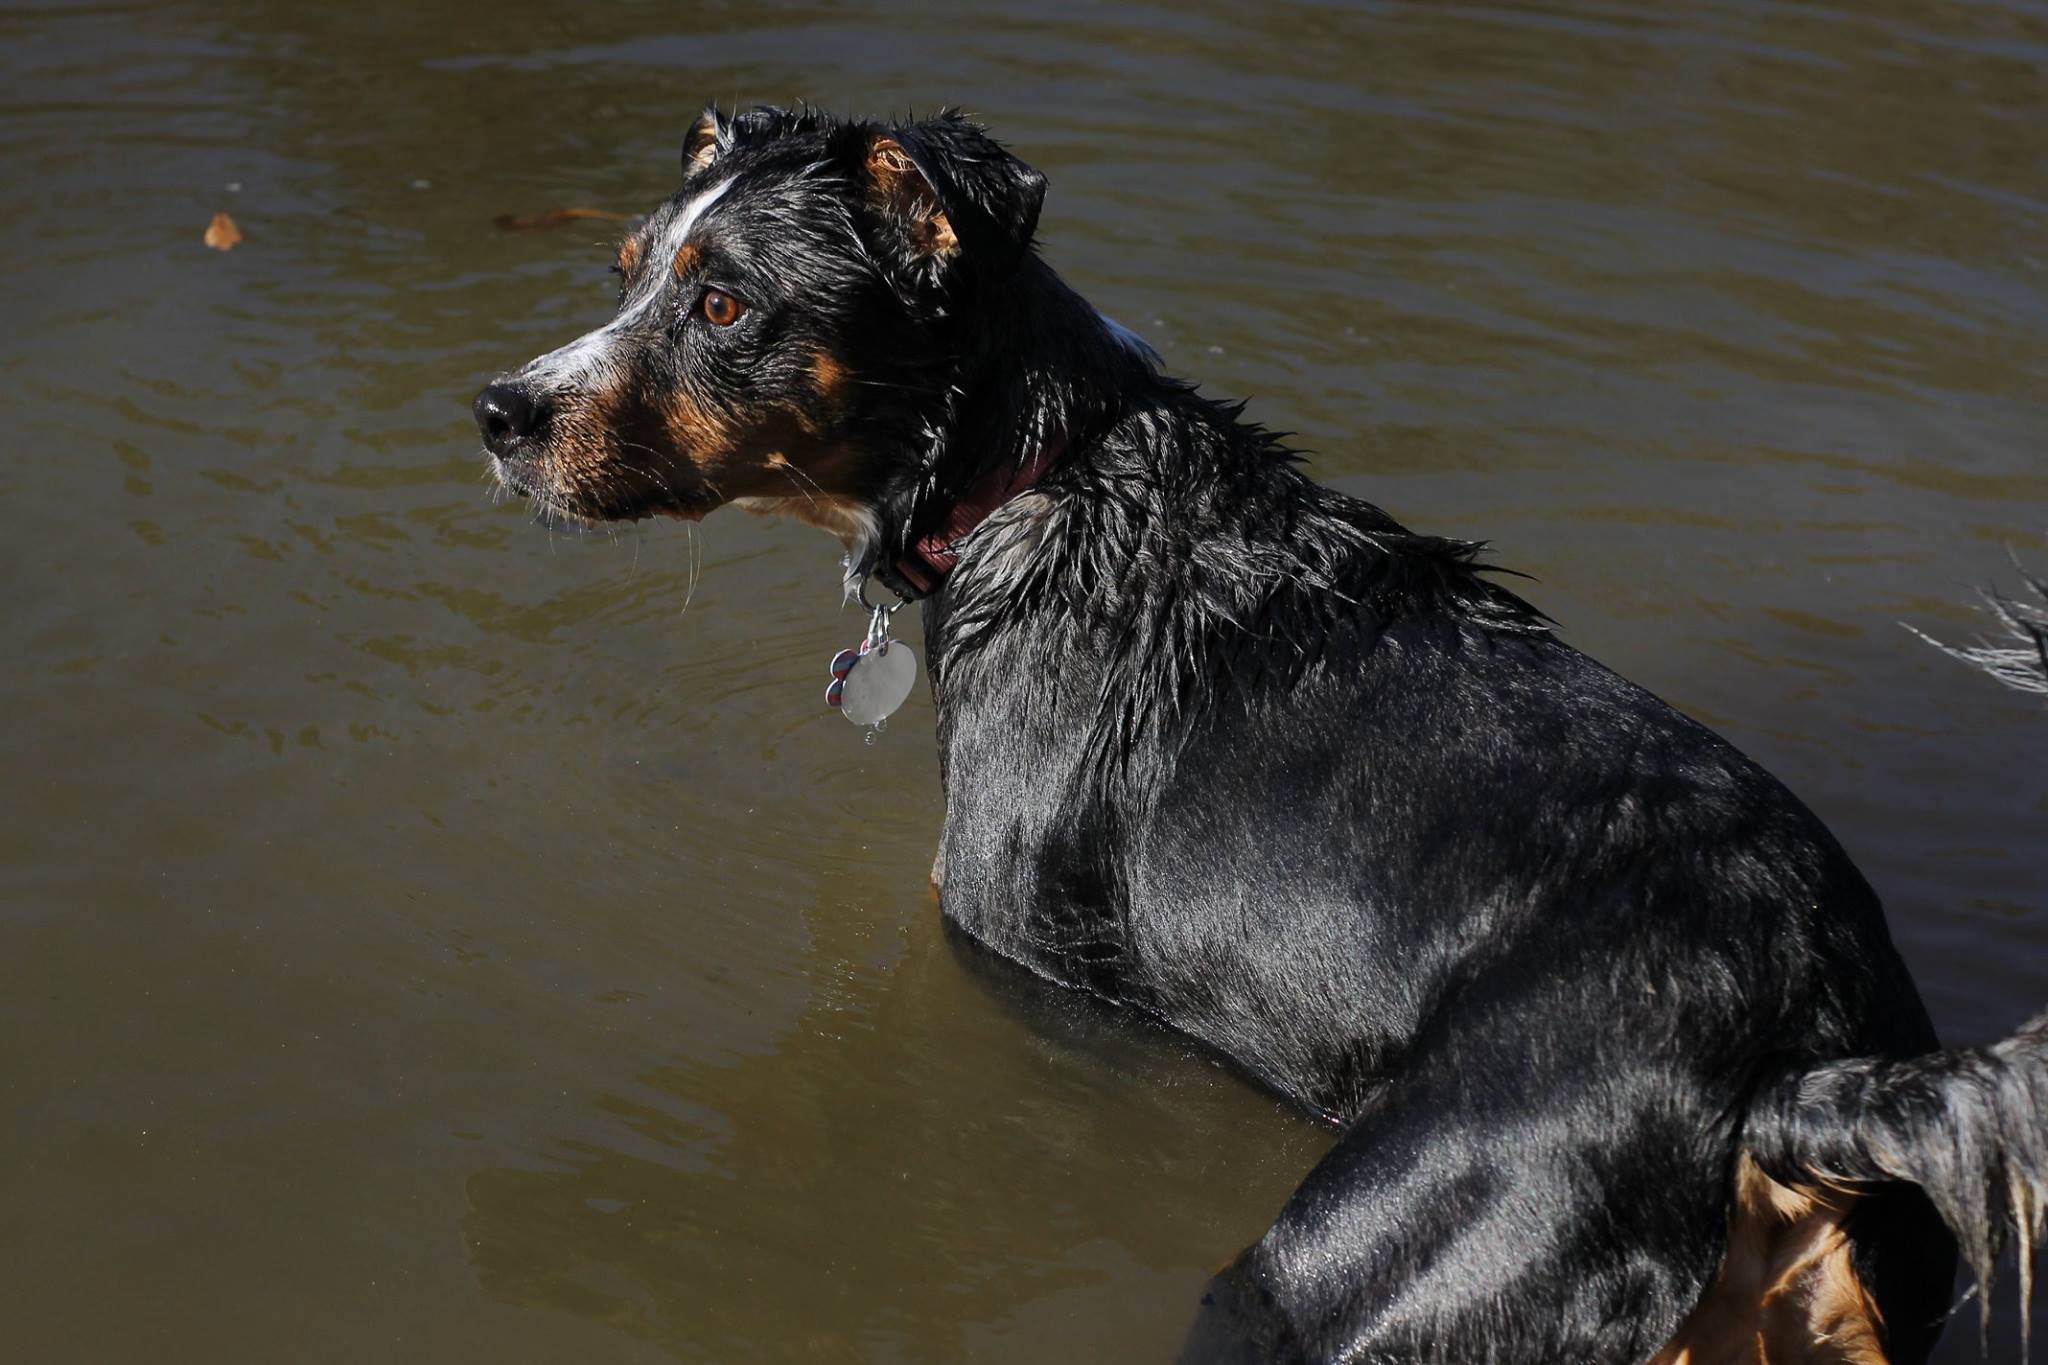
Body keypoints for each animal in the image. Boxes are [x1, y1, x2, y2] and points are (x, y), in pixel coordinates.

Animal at [471, 109, 2039, 1365]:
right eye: (625, 271)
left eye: (725, 305)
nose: (496, 411)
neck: (1040, 484)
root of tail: (1799, 1069)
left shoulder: (1020, 962)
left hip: (1337, 1281)